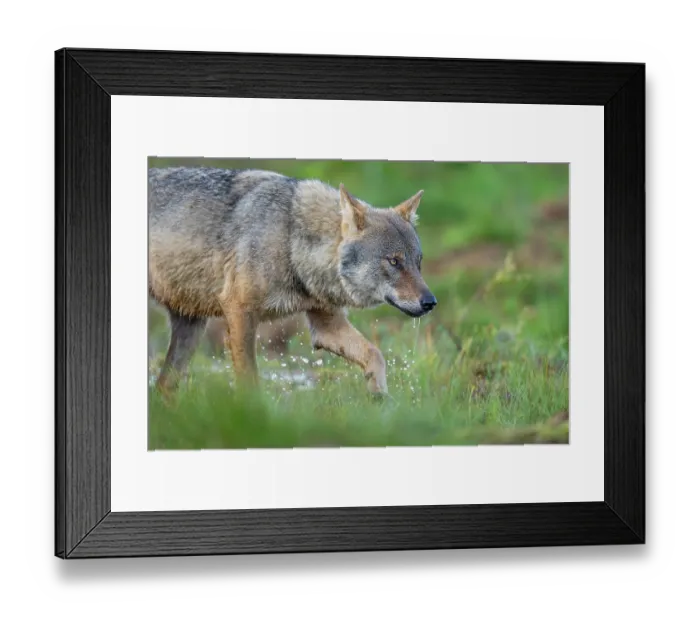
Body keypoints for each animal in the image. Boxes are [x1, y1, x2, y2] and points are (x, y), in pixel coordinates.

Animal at [148, 166, 437, 396]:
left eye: (418, 262)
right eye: (394, 262)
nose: (431, 302)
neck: (291, 240)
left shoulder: (327, 326)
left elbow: (375, 355)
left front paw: (379, 397)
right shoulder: (240, 314)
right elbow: (250, 382)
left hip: (191, 329)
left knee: (163, 386)